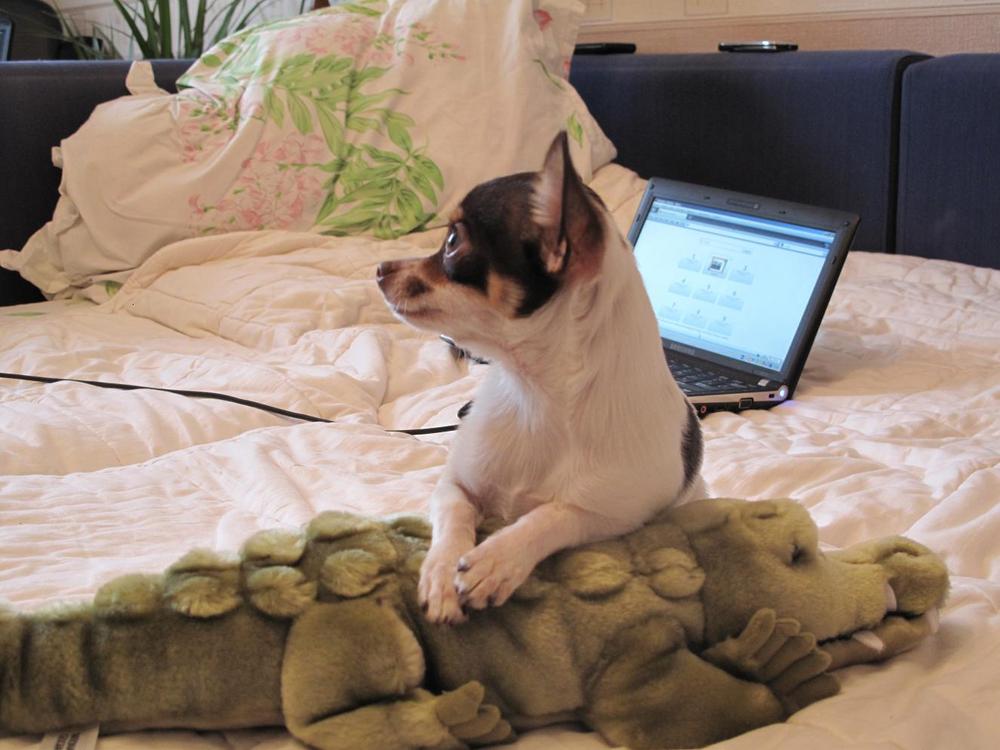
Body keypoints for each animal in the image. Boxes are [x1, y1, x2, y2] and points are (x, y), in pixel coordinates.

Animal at [377, 132, 704, 624]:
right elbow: (454, 520)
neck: (531, 392)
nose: (379, 269)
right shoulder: (454, 485)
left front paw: (497, 559)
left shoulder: (611, 516)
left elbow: (551, 516)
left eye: (452, 242)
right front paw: (440, 575)